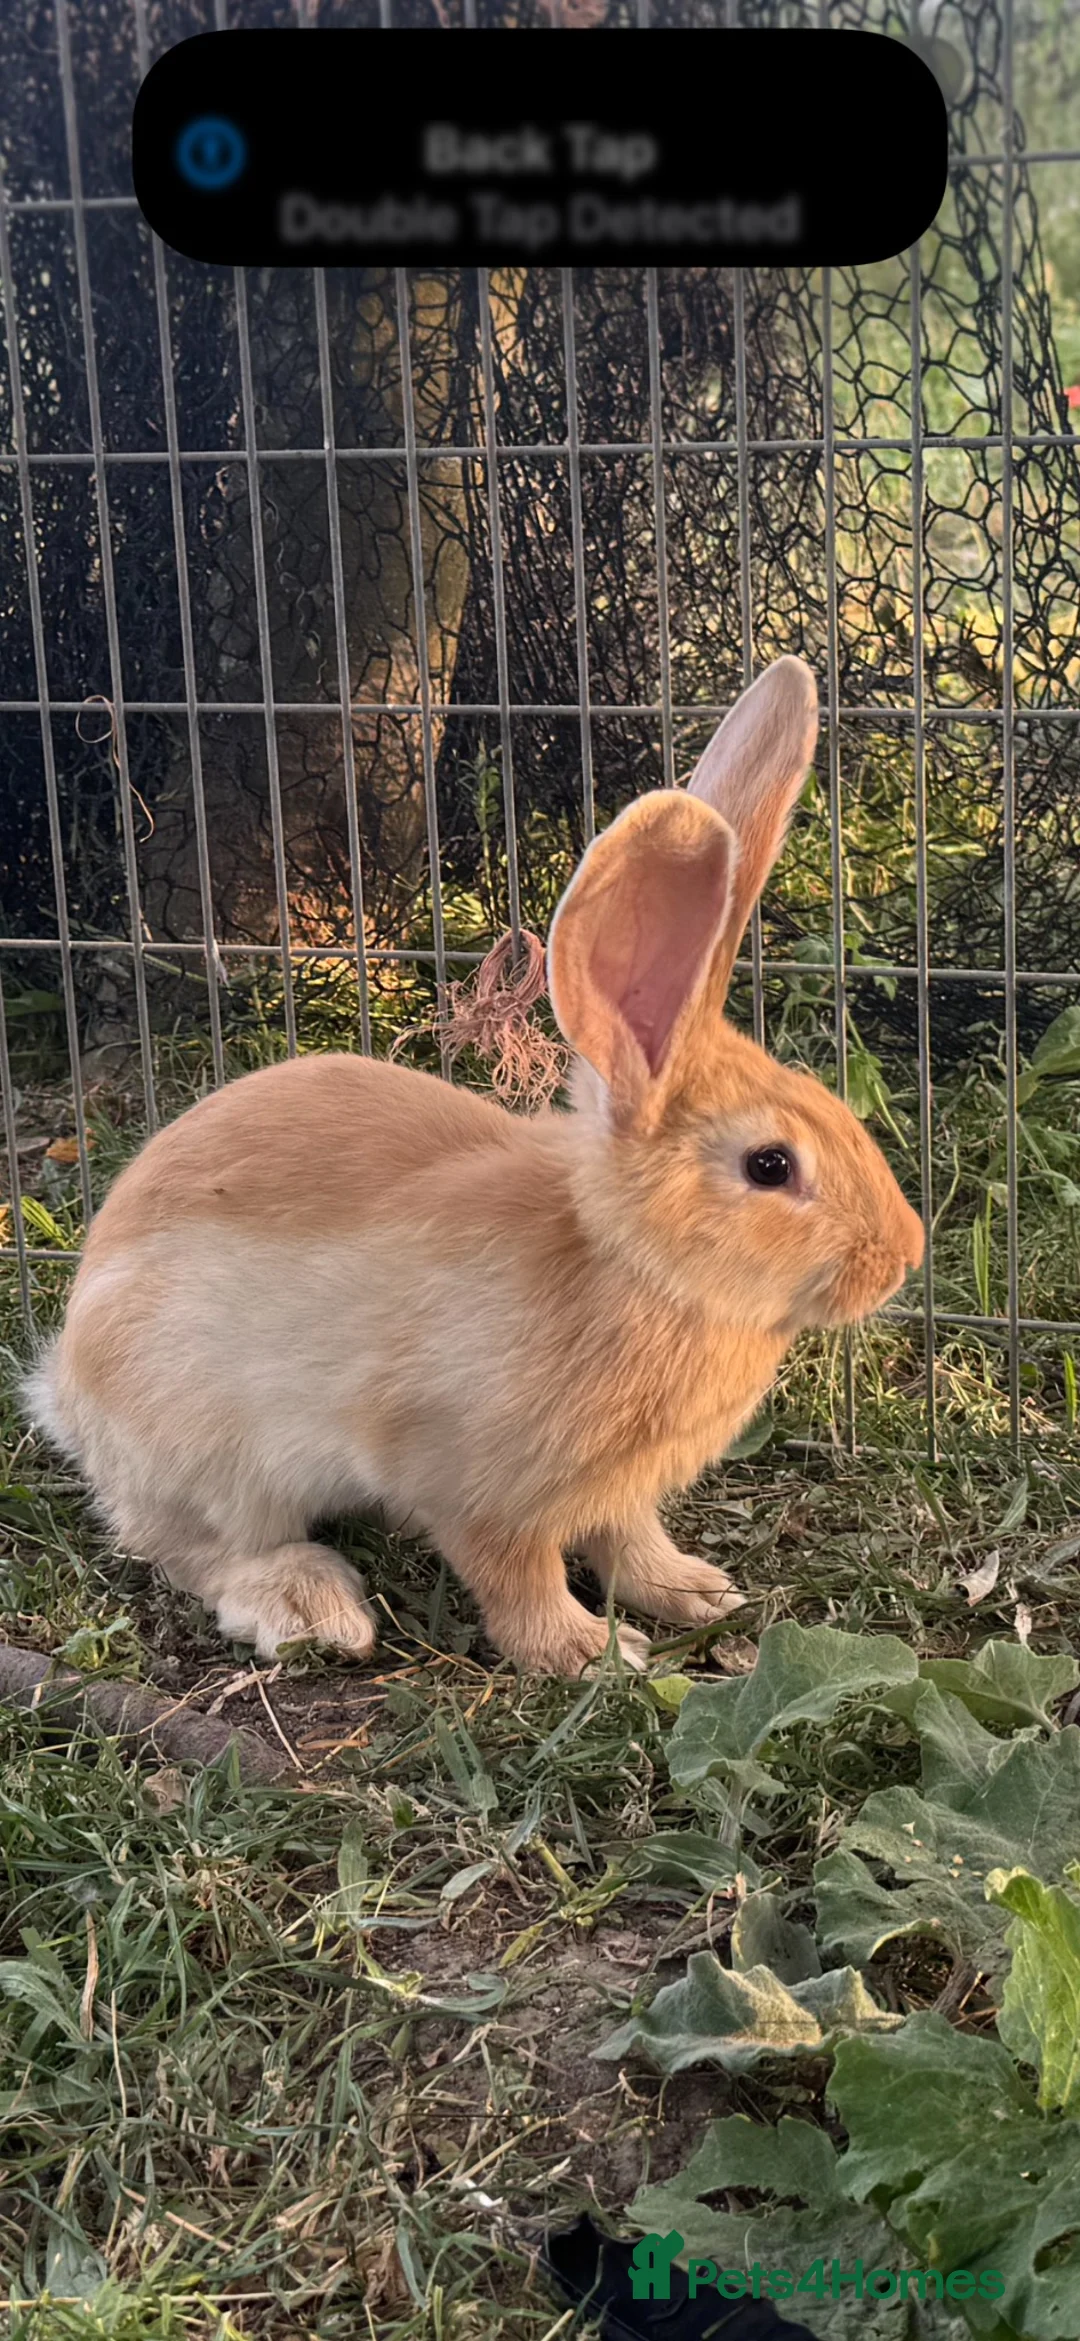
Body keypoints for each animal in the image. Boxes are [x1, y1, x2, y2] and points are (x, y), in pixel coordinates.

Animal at [24, 657, 923, 1677]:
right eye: (771, 1165)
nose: (902, 1257)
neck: (632, 1267)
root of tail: (68, 1386)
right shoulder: (473, 1485)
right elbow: (514, 1575)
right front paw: (587, 1653)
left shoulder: (616, 1491)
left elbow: (629, 1540)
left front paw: (694, 1591)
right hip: (210, 1452)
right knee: (190, 1546)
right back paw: (310, 1603)